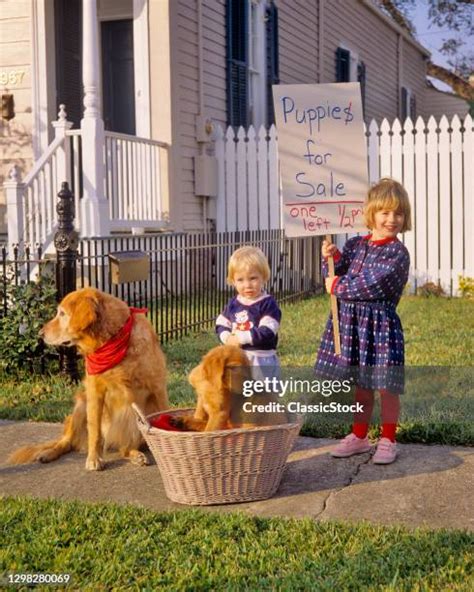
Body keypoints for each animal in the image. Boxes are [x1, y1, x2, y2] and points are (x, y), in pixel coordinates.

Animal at [8, 288, 168, 472]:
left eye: (62, 314)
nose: (40, 334)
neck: (111, 340)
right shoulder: (94, 392)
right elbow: (94, 432)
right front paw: (94, 459)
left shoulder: (158, 388)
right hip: (81, 405)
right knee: (67, 442)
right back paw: (48, 453)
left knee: (124, 449)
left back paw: (136, 455)